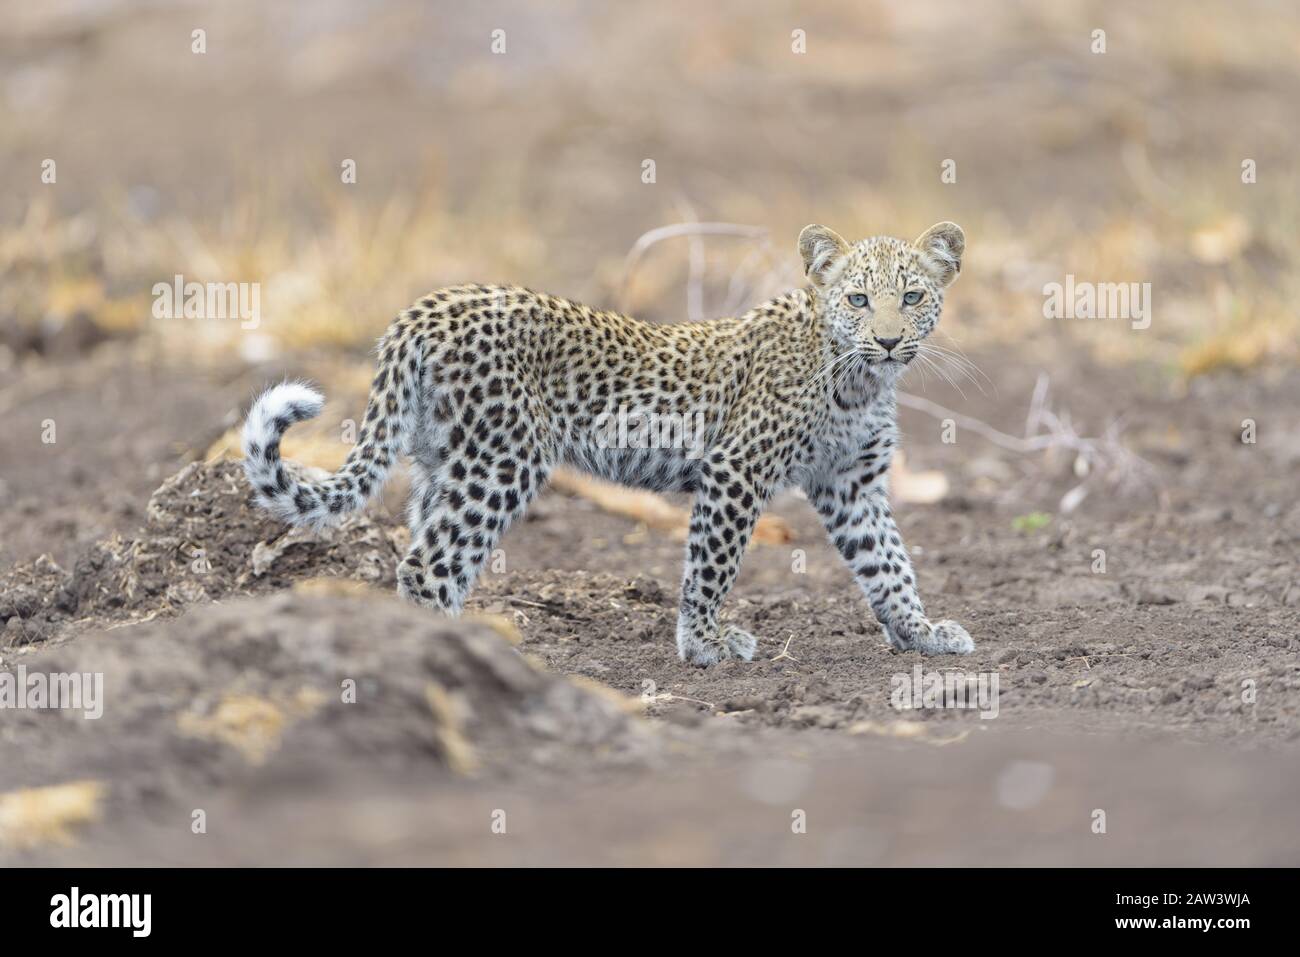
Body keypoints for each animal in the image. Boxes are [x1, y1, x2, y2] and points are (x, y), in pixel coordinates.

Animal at [242, 221, 975, 665]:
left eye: (912, 297)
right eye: (857, 299)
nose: (888, 339)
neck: (860, 378)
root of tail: (424, 309)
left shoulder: (852, 484)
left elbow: (890, 562)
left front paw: (920, 631)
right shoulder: (735, 471)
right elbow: (711, 566)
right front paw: (704, 643)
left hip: (444, 460)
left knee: (423, 553)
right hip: (501, 460)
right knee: (429, 565)